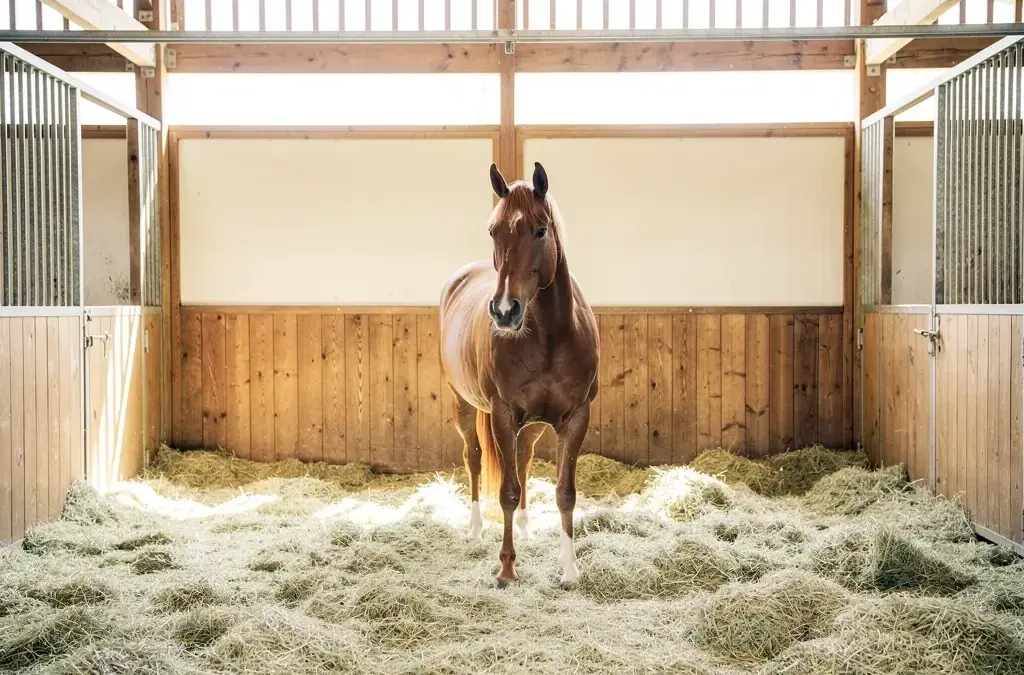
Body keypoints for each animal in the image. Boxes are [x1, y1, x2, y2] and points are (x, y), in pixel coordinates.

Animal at [439, 161, 600, 588]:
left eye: (540, 230)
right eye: (493, 230)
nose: (504, 310)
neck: (548, 335)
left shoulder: (575, 417)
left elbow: (564, 492)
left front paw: (570, 568)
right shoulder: (503, 416)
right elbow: (507, 491)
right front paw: (507, 567)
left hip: (534, 423)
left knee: (524, 459)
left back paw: (526, 526)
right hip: (463, 404)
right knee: (474, 458)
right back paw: (475, 528)